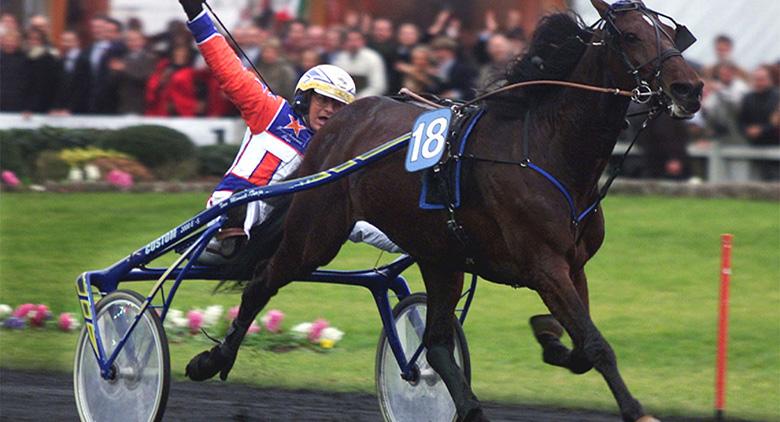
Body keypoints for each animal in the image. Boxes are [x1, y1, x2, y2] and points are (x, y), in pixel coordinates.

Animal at [187, 1, 700, 420]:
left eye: (669, 33)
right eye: (630, 35)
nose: (690, 88)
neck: (547, 149)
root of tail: (338, 126)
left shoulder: (573, 265)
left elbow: (580, 346)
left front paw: (548, 336)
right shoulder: (544, 266)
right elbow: (595, 344)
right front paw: (638, 411)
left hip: (440, 257)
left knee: (434, 347)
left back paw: (470, 408)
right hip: (317, 233)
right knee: (262, 283)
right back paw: (210, 359)